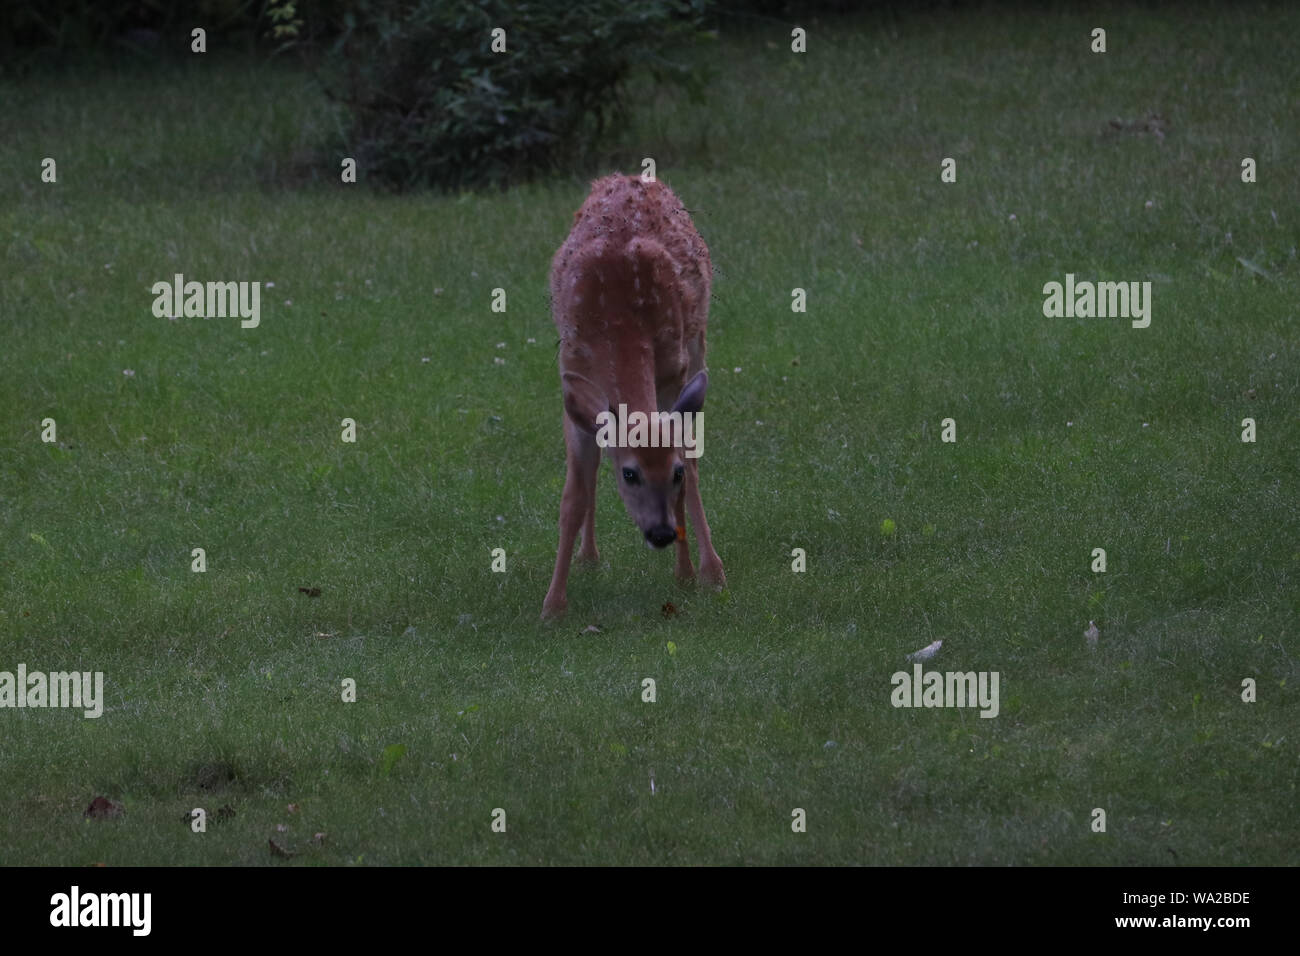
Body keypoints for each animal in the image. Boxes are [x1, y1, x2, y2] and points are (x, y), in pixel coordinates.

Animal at [543, 174, 728, 621]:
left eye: (672, 474)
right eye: (629, 474)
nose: (660, 534)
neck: (620, 322)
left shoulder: (673, 371)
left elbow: (689, 467)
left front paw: (692, 575)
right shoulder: (573, 377)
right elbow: (573, 496)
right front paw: (553, 605)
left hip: (697, 344)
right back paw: (588, 557)